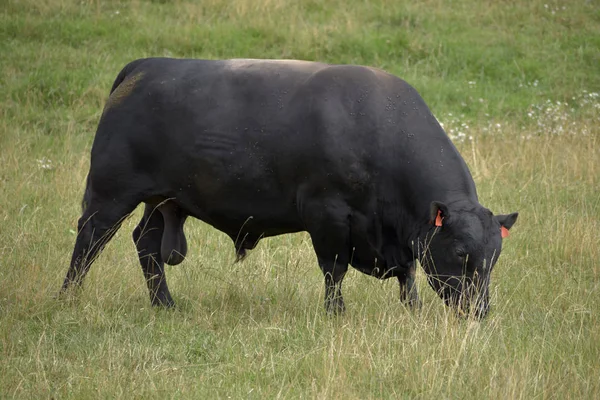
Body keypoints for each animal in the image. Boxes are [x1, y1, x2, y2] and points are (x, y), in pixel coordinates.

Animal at [63, 57, 516, 318]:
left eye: (494, 256)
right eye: (462, 253)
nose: (480, 312)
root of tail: (144, 66)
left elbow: (408, 273)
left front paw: (413, 311)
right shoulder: (326, 213)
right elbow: (334, 269)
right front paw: (336, 314)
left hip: (164, 201)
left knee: (146, 243)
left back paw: (165, 306)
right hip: (111, 193)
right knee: (90, 240)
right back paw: (69, 297)